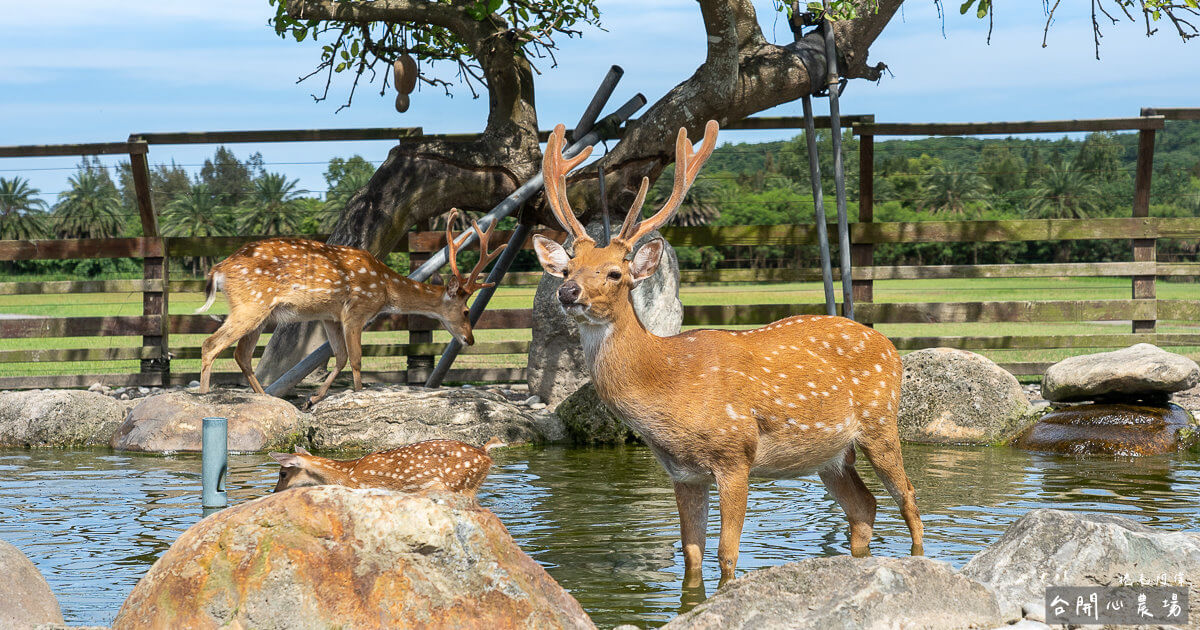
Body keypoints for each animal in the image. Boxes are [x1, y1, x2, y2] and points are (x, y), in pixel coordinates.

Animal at [194, 211, 504, 405]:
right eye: (466, 311)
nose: (470, 339)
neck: (385, 288)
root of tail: (218, 270)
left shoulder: (330, 316)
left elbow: (340, 356)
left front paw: (313, 399)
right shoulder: (357, 309)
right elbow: (356, 359)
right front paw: (357, 394)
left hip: (260, 312)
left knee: (241, 354)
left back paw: (265, 397)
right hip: (251, 303)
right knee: (211, 344)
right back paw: (205, 396)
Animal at [535, 120, 926, 583]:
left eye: (615, 273)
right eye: (567, 268)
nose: (567, 292)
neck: (668, 385)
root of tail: (890, 347)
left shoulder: (735, 454)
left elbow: (726, 554)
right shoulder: (683, 473)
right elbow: (691, 554)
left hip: (880, 422)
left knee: (908, 498)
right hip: (830, 456)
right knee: (865, 507)